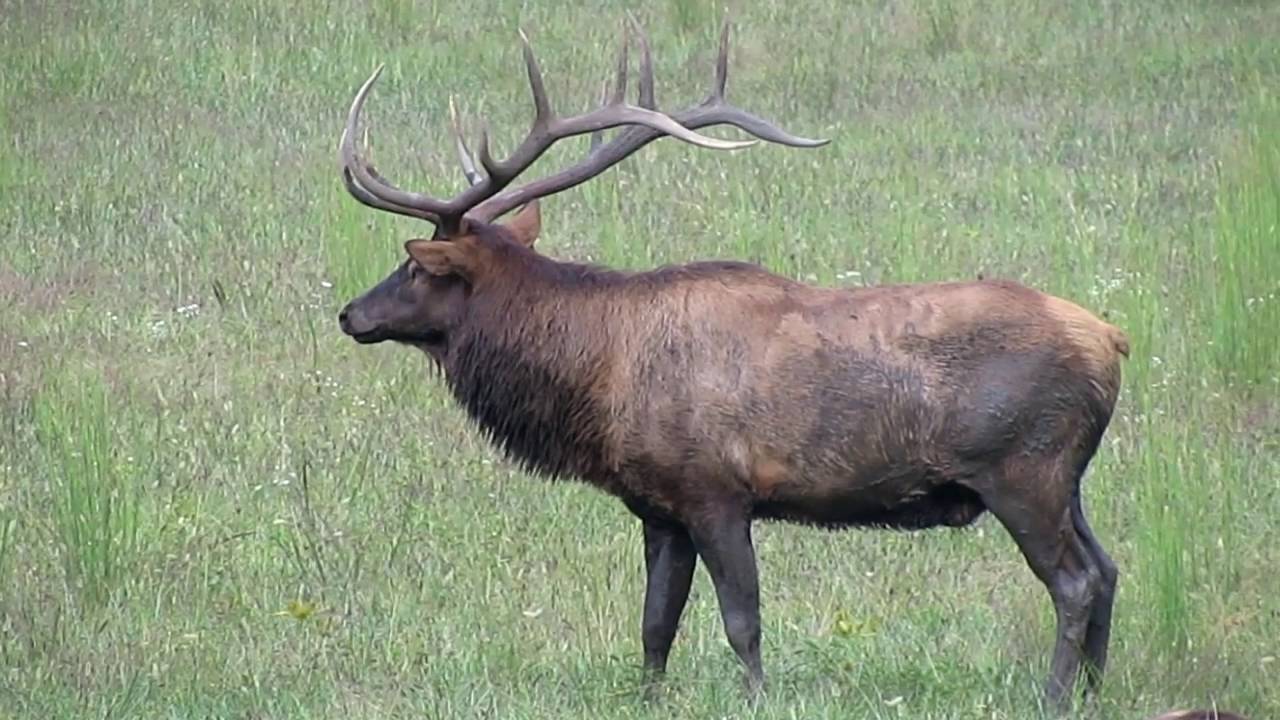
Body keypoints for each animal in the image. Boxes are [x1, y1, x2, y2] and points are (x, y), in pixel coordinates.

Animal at [335, 16, 1130, 712]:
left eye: (415, 269)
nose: (350, 313)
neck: (598, 374)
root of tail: (1113, 340)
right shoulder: (658, 507)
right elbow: (655, 625)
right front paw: (648, 700)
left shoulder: (715, 489)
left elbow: (742, 620)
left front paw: (754, 698)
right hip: (1067, 477)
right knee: (1109, 568)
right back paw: (1095, 693)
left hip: (1022, 469)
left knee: (1074, 583)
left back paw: (1057, 697)